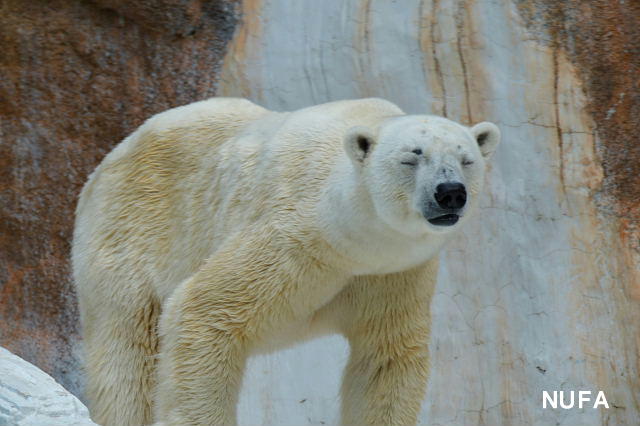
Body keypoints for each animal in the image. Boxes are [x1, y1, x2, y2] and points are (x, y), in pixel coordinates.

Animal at [71, 97, 500, 426]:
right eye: (412, 157)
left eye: (466, 160)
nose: (450, 192)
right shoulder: (295, 236)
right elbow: (204, 310)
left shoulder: (393, 272)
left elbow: (385, 356)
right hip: (132, 234)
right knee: (127, 354)